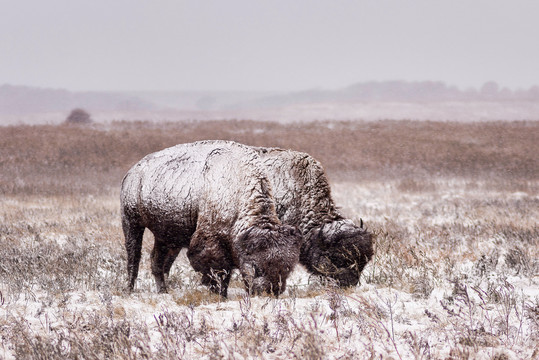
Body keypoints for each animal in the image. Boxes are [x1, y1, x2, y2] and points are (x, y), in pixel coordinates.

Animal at [119, 140, 302, 296]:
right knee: (134, 257)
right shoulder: (210, 243)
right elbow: (219, 273)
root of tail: (132, 172)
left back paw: (163, 291)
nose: (271, 290)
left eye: (287, 268)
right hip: (132, 222)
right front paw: (219, 293)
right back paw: (130, 289)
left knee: (157, 261)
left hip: (167, 237)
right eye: (257, 267)